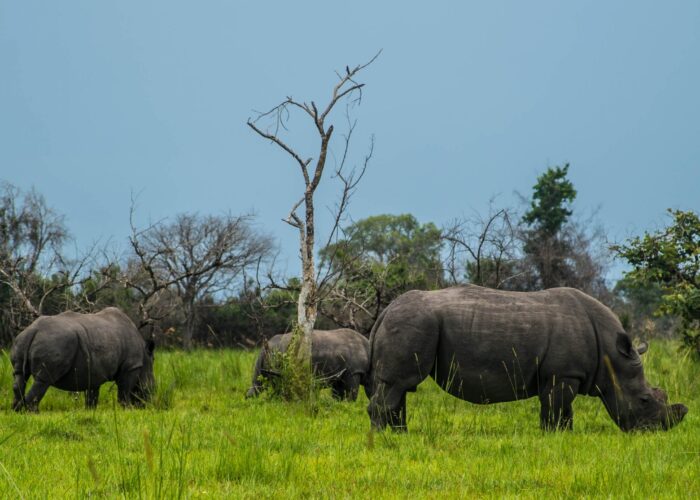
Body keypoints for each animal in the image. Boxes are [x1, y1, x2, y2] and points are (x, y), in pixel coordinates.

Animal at [11, 307, 155, 411]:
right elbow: (125, 390)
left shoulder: (95, 371)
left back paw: (17, 411)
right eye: (149, 388)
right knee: (43, 380)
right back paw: (32, 413)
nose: (149, 403)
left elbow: (92, 393)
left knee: (20, 375)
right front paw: (128, 410)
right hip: (54, 342)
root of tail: (33, 330)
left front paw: (90, 411)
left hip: (21, 340)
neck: (145, 355)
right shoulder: (131, 366)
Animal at [367, 285, 688, 432]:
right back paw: (385, 439)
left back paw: (401, 435)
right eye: (644, 400)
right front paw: (556, 436)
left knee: (400, 387)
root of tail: (386, 309)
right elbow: (557, 409)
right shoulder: (564, 374)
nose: (656, 432)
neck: (610, 354)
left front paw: (561, 437)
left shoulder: (559, 375)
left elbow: (560, 410)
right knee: (398, 384)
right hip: (414, 323)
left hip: (412, 324)